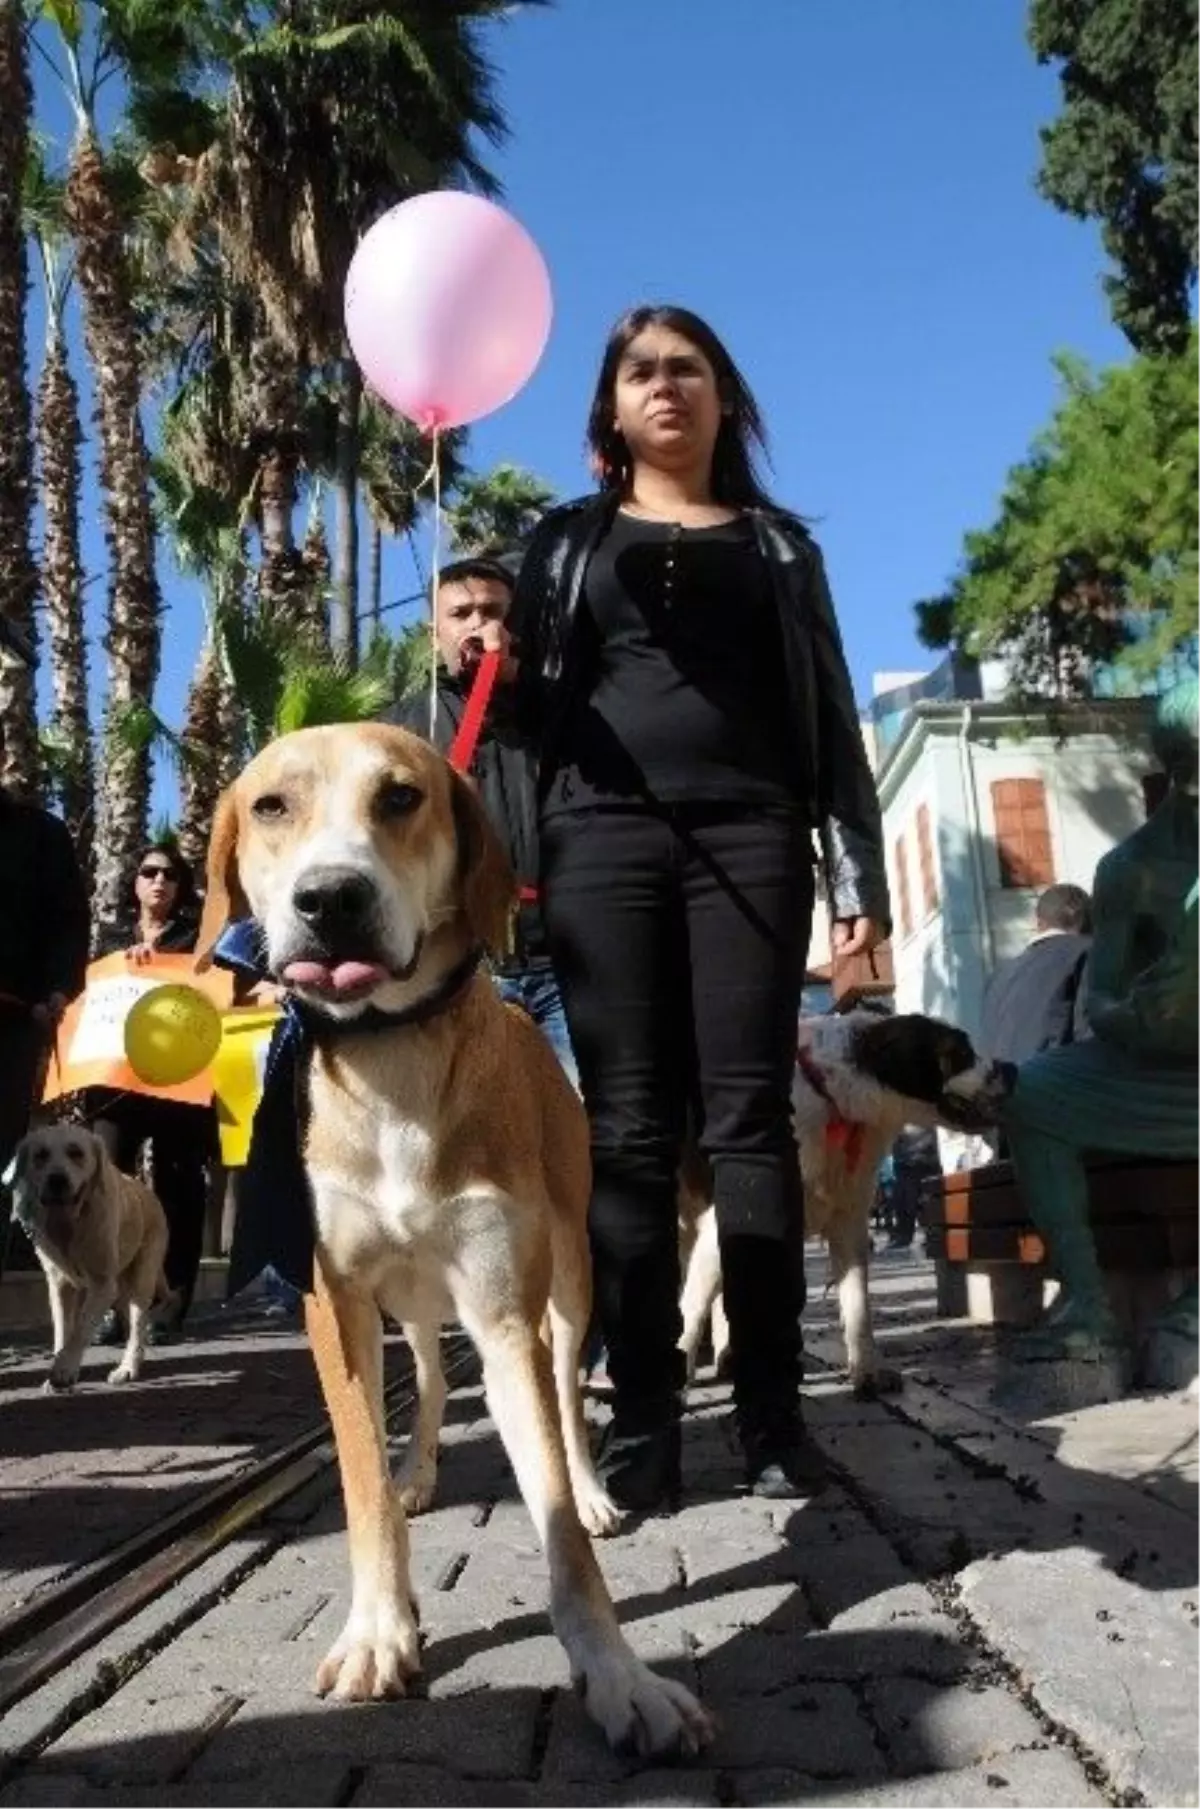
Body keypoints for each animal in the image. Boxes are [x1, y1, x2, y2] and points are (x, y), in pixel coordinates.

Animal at [11, 1121, 171, 1389]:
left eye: (76, 1152)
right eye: (40, 1155)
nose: (57, 1180)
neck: (74, 1227)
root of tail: (145, 1188)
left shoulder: (102, 1284)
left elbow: (80, 1329)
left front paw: (64, 1369)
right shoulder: (60, 1285)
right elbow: (63, 1329)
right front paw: (61, 1363)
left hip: (141, 1277)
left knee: (138, 1323)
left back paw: (128, 1367)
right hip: (121, 1286)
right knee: (129, 1317)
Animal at [199, 723, 713, 1765]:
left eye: (401, 797)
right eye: (271, 806)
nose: (330, 898)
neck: (390, 1058)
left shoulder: (505, 1312)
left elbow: (555, 1512)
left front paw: (618, 1674)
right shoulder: (337, 1309)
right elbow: (361, 1481)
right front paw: (379, 1629)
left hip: (568, 1285)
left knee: (568, 1398)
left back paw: (595, 1487)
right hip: (413, 1314)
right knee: (434, 1387)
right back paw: (424, 1473)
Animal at [680, 1013, 1006, 1389]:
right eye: (962, 1052)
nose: (1011, 1069)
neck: (834, 1102)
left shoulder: (847, 1221)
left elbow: (857, 1303)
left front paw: (867, 1371)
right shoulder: (726, 1222)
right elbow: (693, 1306)